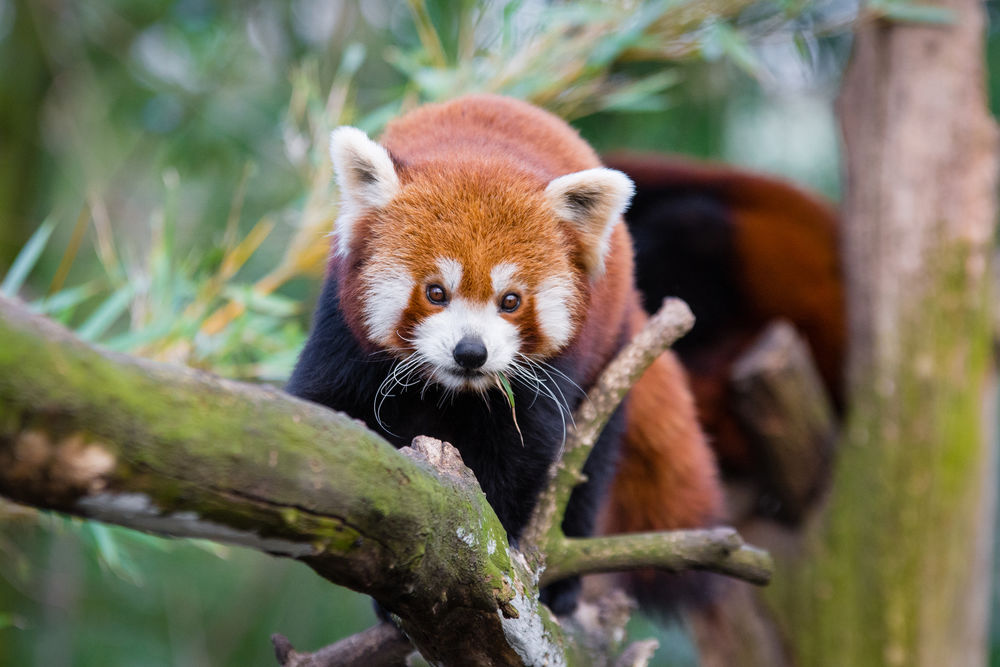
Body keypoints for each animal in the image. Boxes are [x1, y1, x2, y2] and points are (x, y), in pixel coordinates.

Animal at [286, 95, 724, 616]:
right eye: (436, 293)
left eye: (510, 300)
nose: (471, 352)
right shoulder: (343, 333)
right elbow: (324, 406)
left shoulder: (550, 374)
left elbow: (523, 452)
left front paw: (490, 546)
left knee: (590, 464)